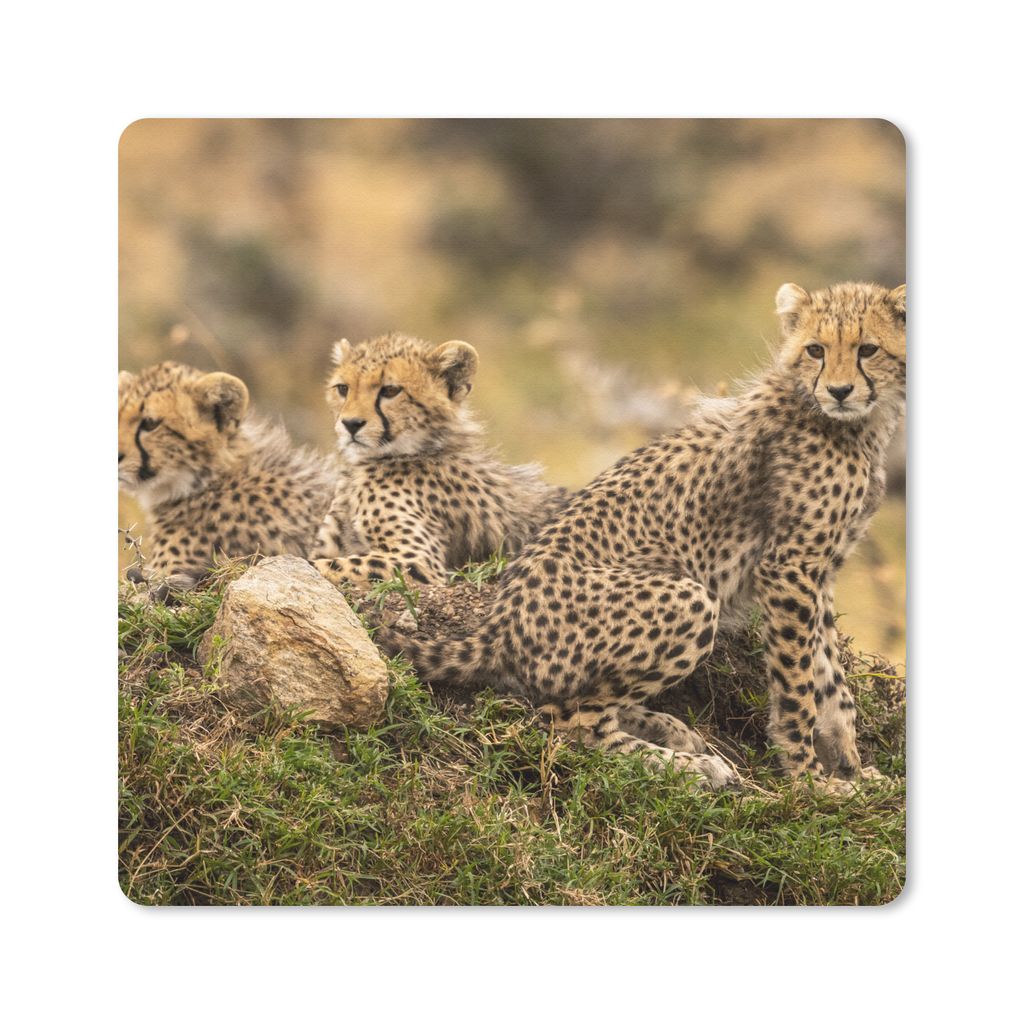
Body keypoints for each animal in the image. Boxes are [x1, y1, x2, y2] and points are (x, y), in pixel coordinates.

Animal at [379, 282, 906, 792]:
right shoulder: (790, 567)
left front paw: (852, 766)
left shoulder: (820, 570)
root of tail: (495, 631)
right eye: (816, 349)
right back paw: (693, 768)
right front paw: (809, 778)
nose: (839, 391)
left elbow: (830, 675)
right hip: (688, 598)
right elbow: (799, 681)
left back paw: (669, 730)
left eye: (868, 349)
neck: (854, 423)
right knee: (572, 720)